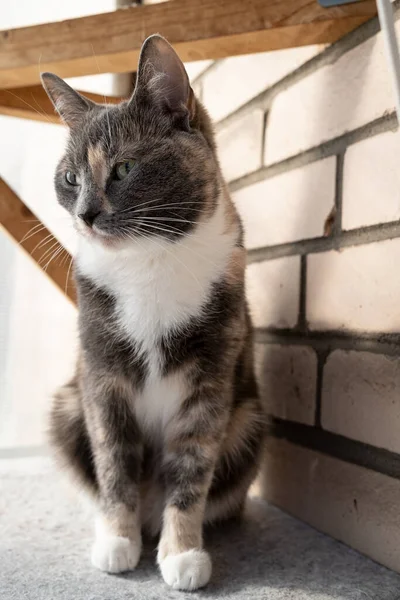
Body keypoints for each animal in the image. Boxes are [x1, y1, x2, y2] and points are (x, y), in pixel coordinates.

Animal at [41, 34, 266, 592]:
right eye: (70, 178)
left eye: (124, 168)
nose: (85, 215)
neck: (148, 260)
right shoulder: (100, 376)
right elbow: (114, 461)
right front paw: (117, 541)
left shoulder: (211, 377)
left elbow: (192, 467)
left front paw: (182, 553)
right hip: (65, 406)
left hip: (249, 420)